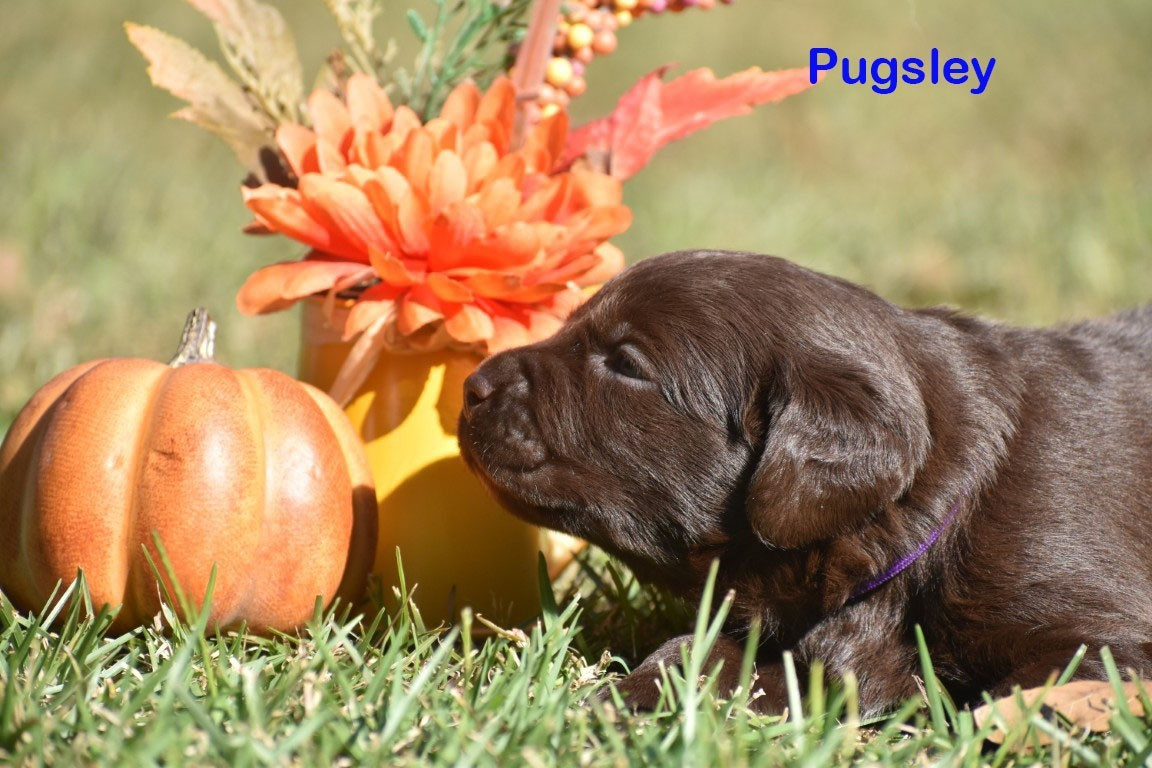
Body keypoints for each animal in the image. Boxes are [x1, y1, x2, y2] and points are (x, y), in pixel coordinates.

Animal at [457, 250, 1152, 715]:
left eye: (626, 364)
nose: (471, 388)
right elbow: (696, 653)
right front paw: (614, 703)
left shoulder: (1105, 633)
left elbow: (1024, 695)